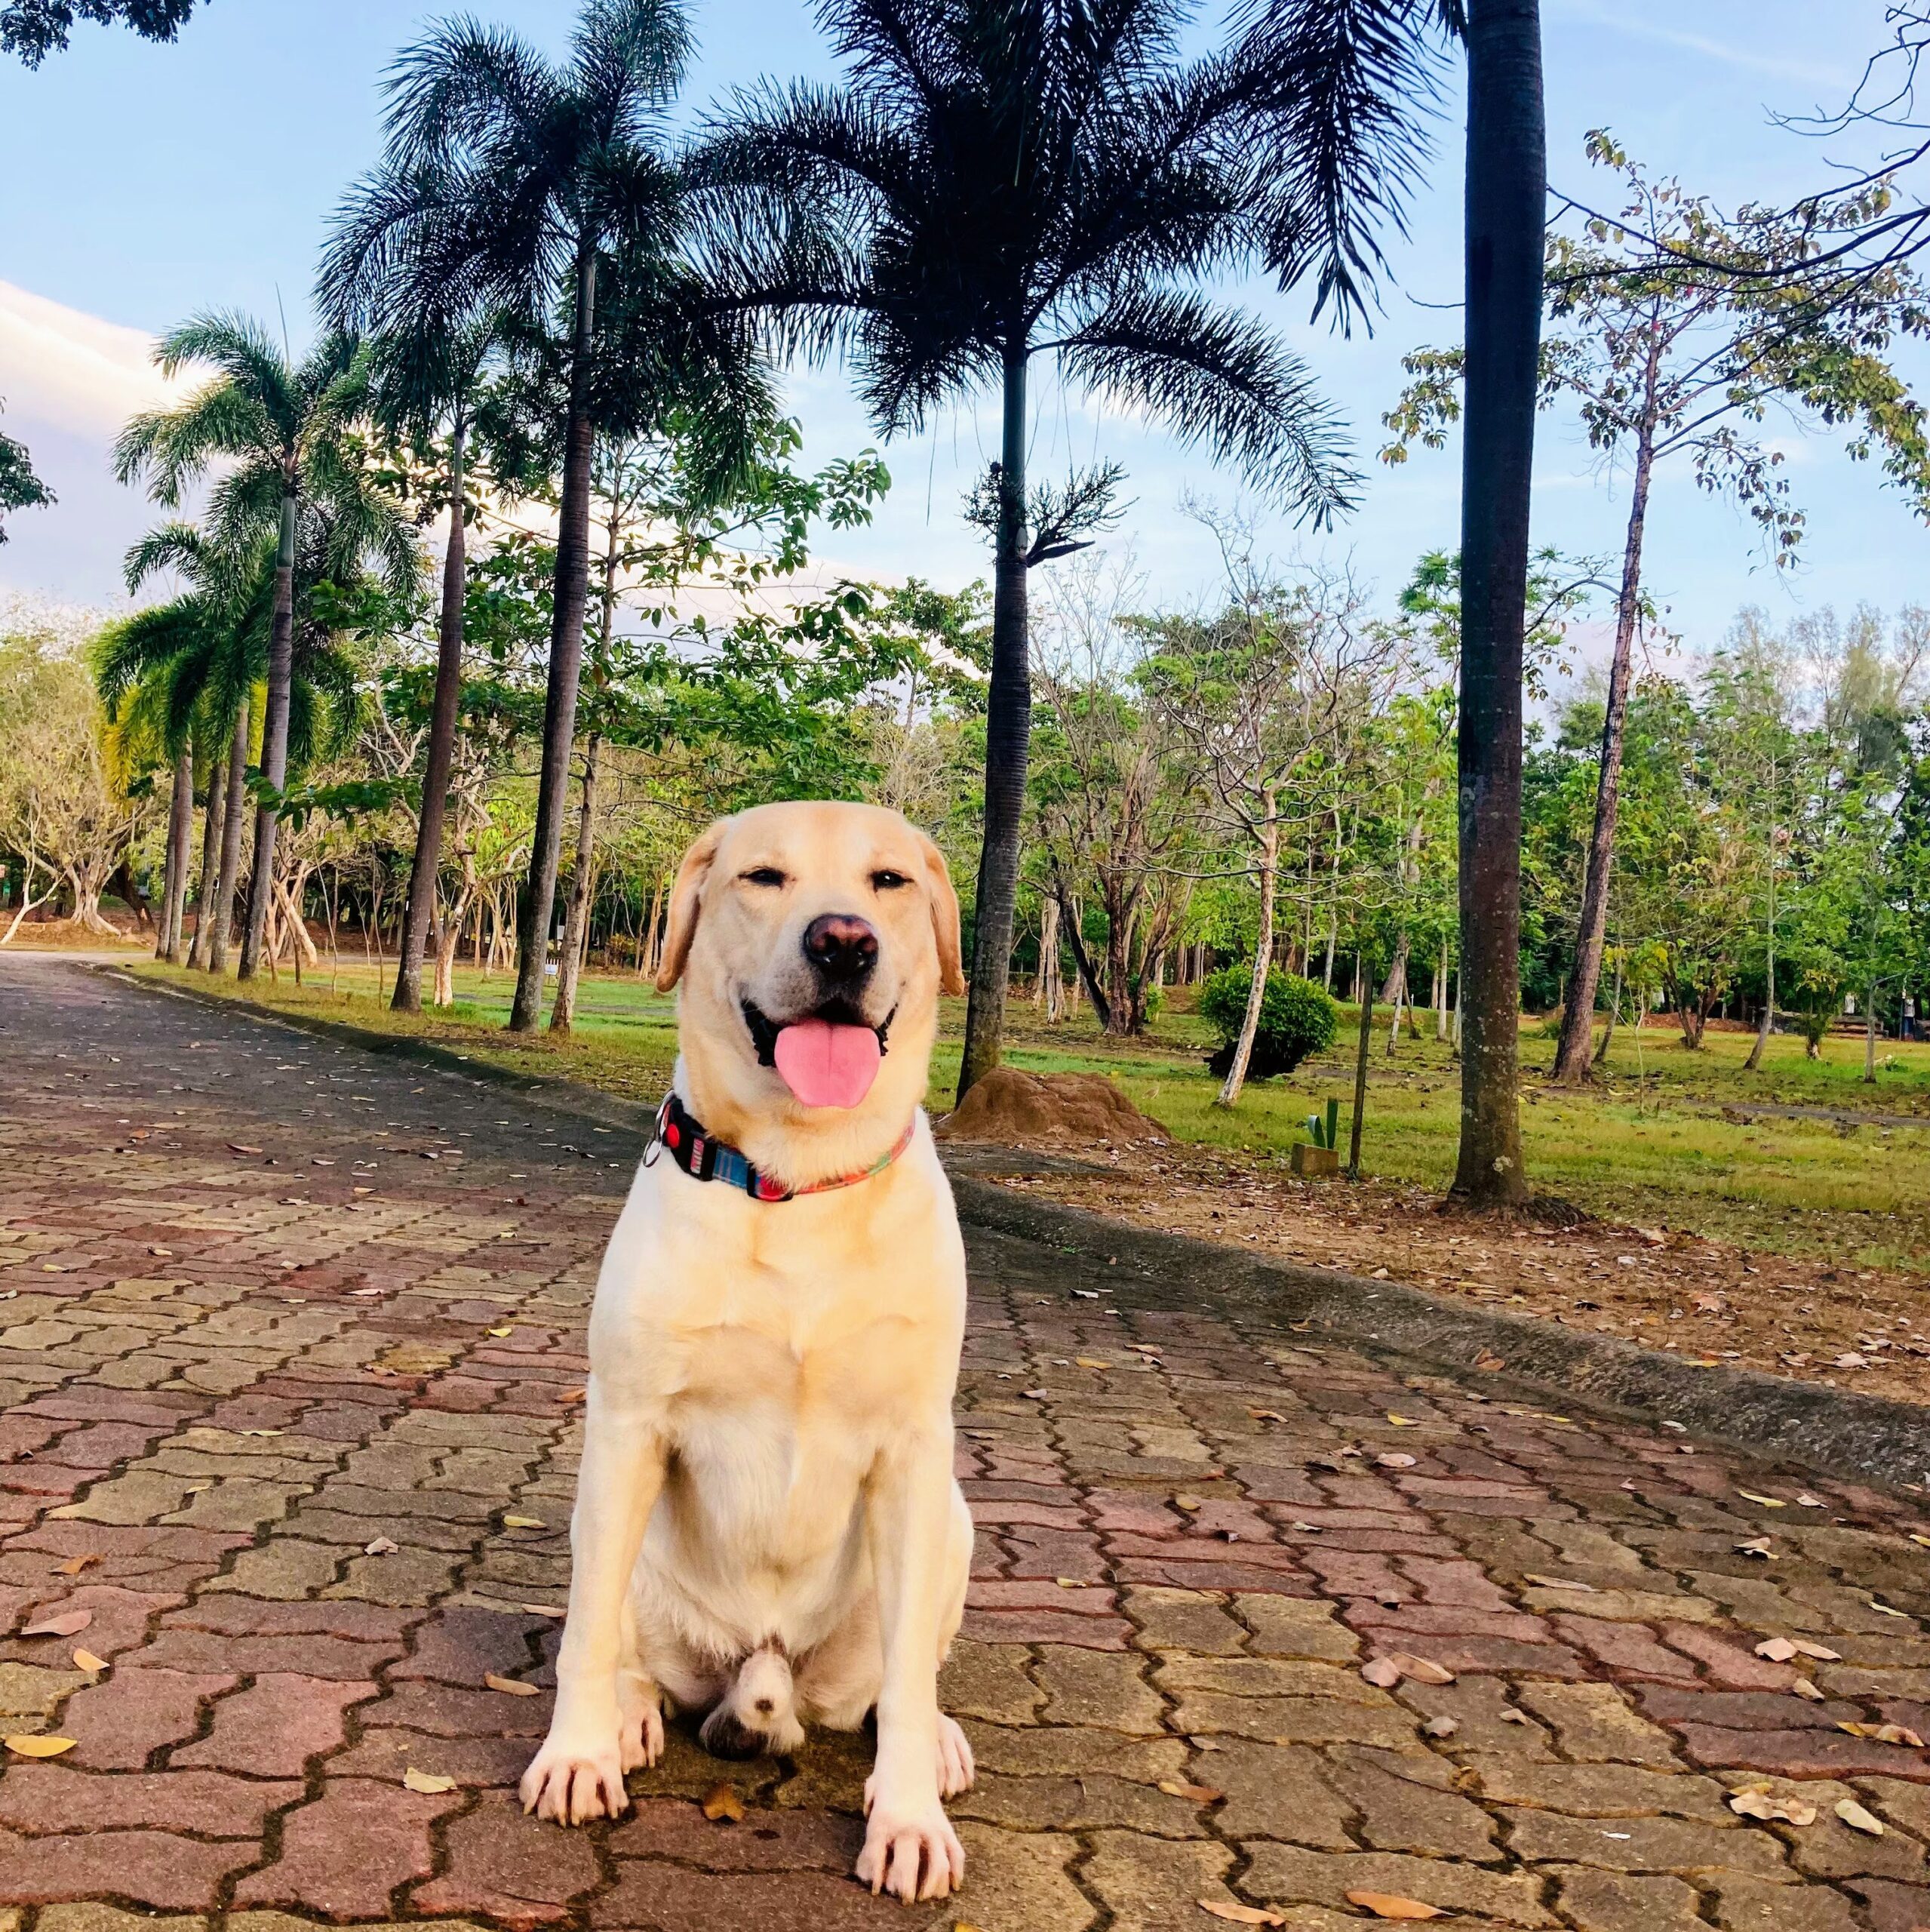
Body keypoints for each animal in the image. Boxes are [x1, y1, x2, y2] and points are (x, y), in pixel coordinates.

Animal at [521, 795, 981, 1901]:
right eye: (763, 877)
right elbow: (585, 1634)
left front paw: (908, 1817)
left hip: (952, 1524)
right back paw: (628, 1716)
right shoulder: (627, 1419)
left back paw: (932, 1743)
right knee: (620, 1636)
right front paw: (577, 1753)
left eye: (888, 882)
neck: (799, 1175)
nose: (843, 940)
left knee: (900, 1680)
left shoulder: (914, 1447)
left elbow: (909, 1680)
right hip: (609, 1516)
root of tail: (761, 1668)